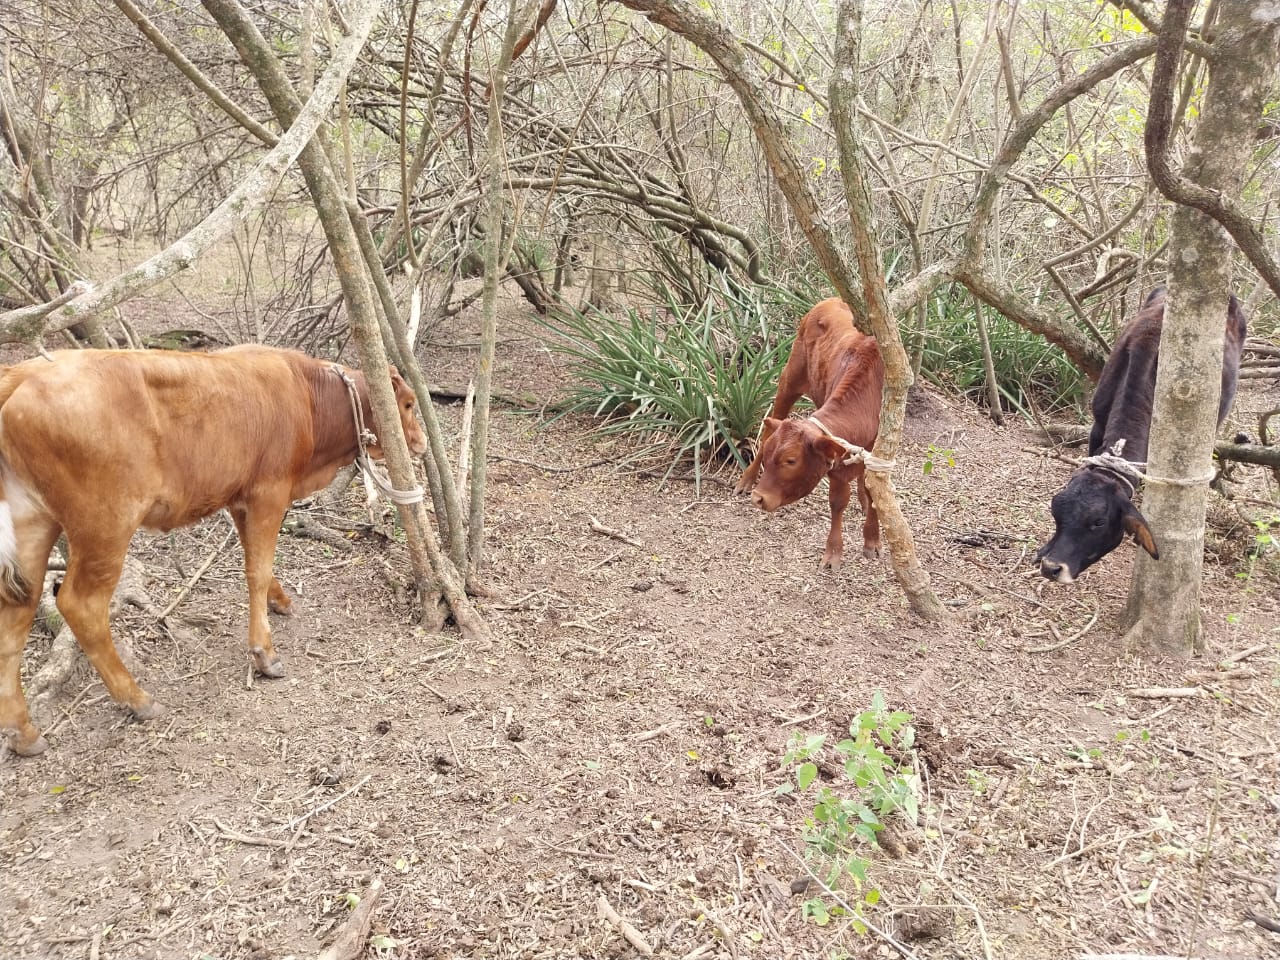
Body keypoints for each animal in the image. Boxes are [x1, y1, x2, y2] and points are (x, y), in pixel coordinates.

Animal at [0, 345, 430, 757]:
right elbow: (257, 569)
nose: (423, 444)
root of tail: (23, 374)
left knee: (15, 615)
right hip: (105, 526)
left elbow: (256, 559)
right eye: (409, 404)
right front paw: (264, 653)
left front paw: (281, 600)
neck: (307, 395)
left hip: (32, 523)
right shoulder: (269, 492)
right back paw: (137, 699)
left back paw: (24, 733)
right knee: (80, 606)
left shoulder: (241, 499)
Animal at [737, 299, 885, 570]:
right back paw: (746, 479)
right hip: (788, 381)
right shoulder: (836, 464)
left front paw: (872, 539)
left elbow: (873, 493)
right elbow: (837, 502)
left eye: (791, 460)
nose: (758, 499)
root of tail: (832, 300)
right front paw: (833, 552)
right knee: (765, 433)